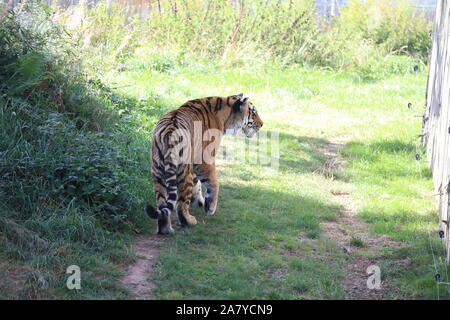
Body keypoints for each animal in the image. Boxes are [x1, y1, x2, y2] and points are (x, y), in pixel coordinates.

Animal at [144, 94, 264, 234]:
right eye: (253, 112)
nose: (262, 124)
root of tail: (169, 133)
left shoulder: (195, 160)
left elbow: (198, 184)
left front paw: (199, 202)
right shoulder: (205, 159)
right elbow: (213, 182)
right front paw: (210, 207)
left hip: (158, 171)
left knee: (162, 203)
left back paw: (165, 230)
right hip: (184, 170)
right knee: (181, 204)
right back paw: (189, 221)